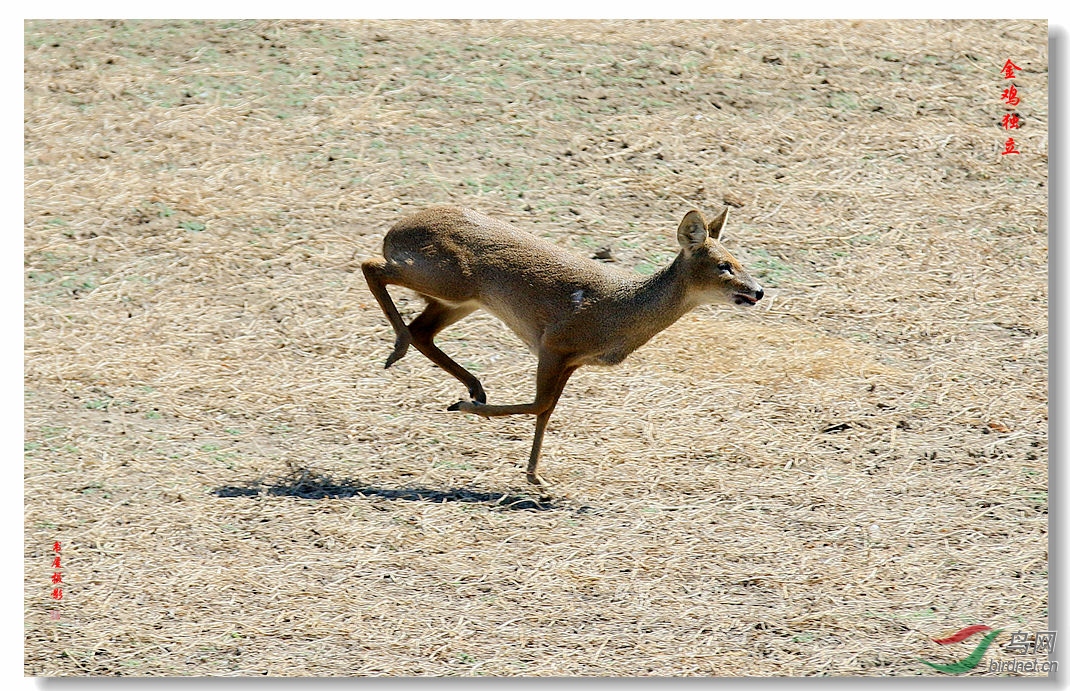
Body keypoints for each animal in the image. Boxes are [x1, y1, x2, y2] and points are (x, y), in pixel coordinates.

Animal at [363, 205, 766, 487]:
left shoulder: (573, 360)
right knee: (372, 266)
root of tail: (395, 230)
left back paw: (471, 385)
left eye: (739, 260)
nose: (758, 291)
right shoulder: (553, 343)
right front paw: (465, 409)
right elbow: (540, 404)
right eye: (723, 265)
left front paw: (536, 477)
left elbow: (547, 410)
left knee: (422, 331)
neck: (621, 312)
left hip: (460, 299)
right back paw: (402, 351)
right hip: (448, 280)